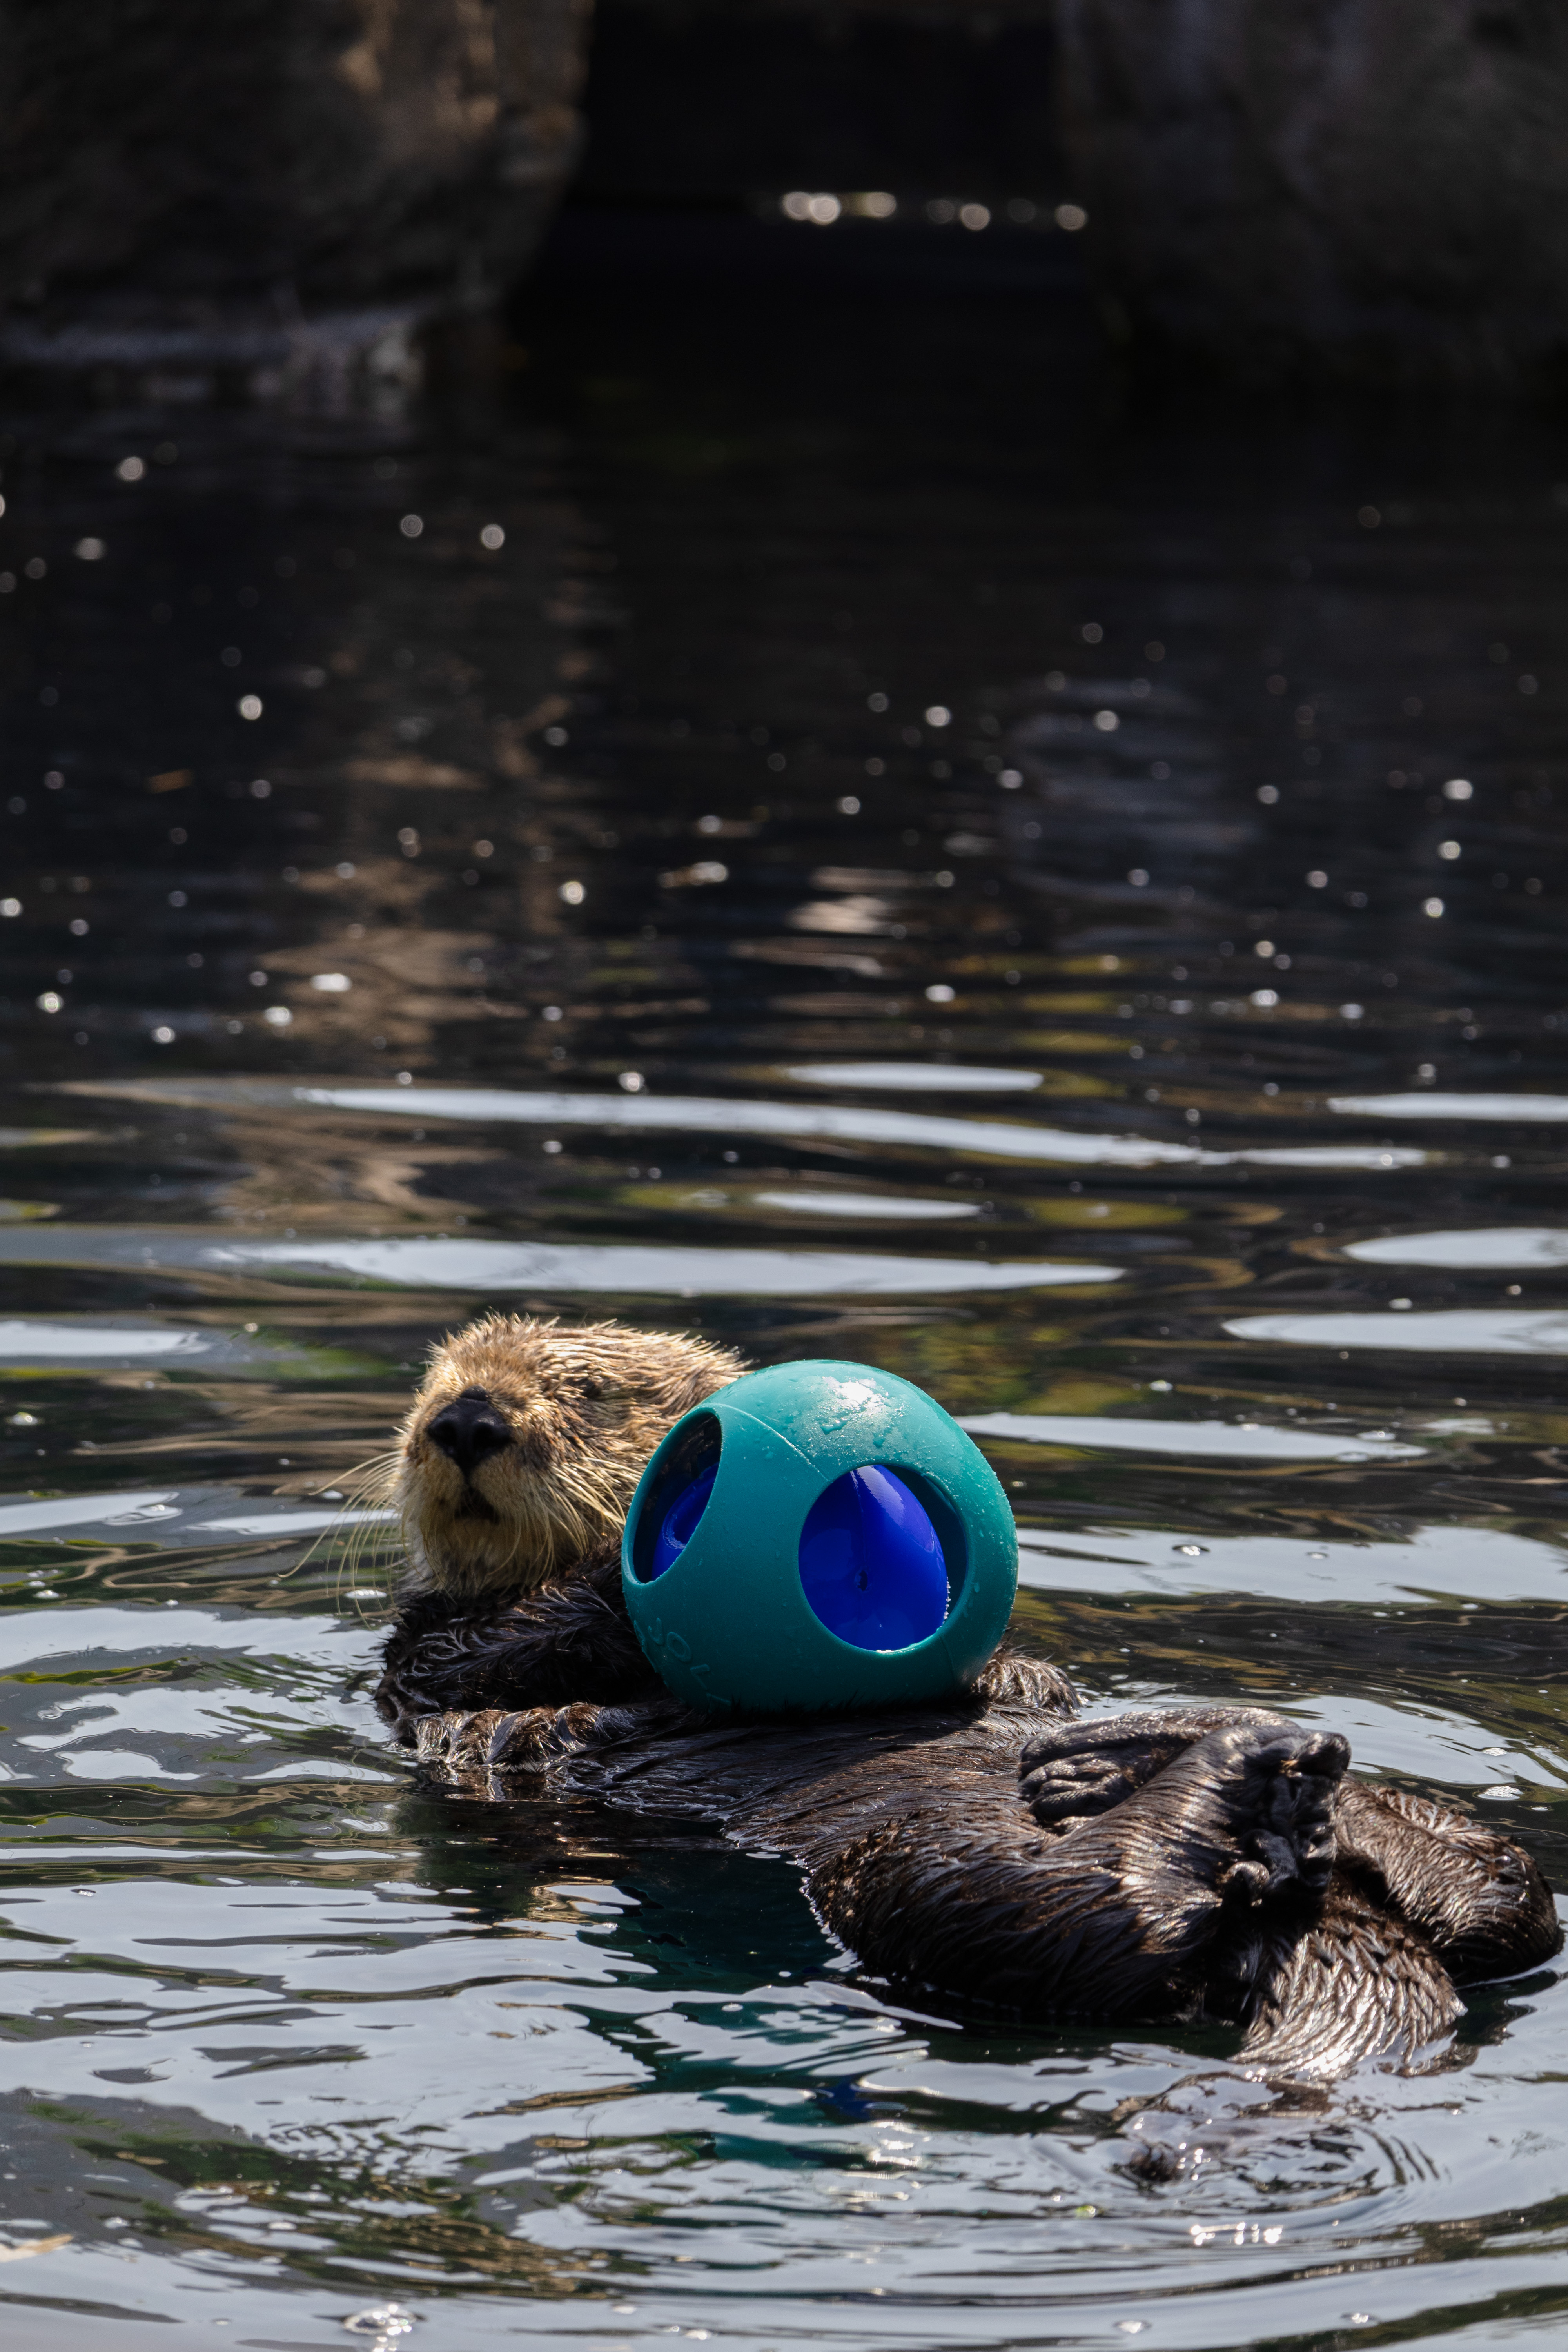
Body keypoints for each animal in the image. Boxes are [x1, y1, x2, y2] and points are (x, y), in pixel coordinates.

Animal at [372, 1314, 1561, 2076]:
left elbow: (1025, 1668)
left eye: (588, 1393)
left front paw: (1022, 1685)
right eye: (428, 1389)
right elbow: (502, 1650)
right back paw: (1221, 1772)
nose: (465, 1419)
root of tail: (1310, 1909)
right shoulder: (434, 1666)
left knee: (1503, 1898)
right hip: (929, 1883)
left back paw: (1198, 1765)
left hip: (1448, 1862)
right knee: (1114, 1906)